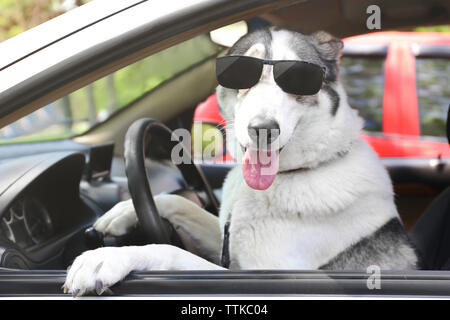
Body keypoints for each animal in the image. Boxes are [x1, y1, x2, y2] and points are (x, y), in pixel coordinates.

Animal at [63, 27, 418, 296]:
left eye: (299, 77)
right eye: (240, 71)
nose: (263, 129)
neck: (295, 173)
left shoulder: (269, 277)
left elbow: (169, 250)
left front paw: (106, 258)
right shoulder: (227, 239)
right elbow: (180, 204)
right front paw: (122, 211)